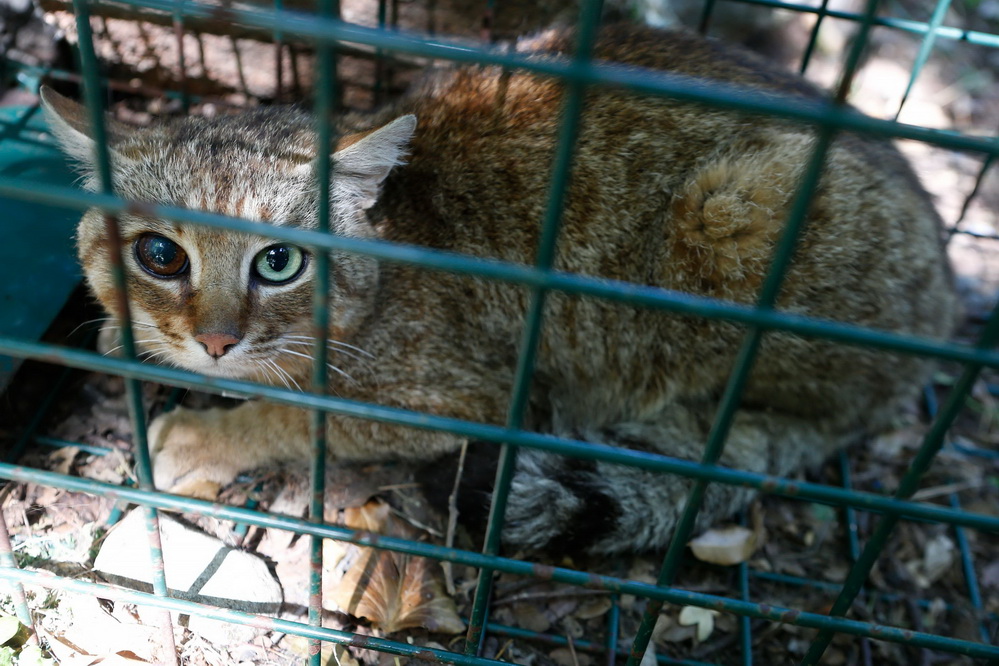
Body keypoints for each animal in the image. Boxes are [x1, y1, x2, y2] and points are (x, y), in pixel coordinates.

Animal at [41, 24, 960, 556]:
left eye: (277, 264)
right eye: (161, 255)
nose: (216, 339)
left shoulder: (458, 396)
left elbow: (298, 416)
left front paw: (208, 433)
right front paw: (134, 337)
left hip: (732, 210)